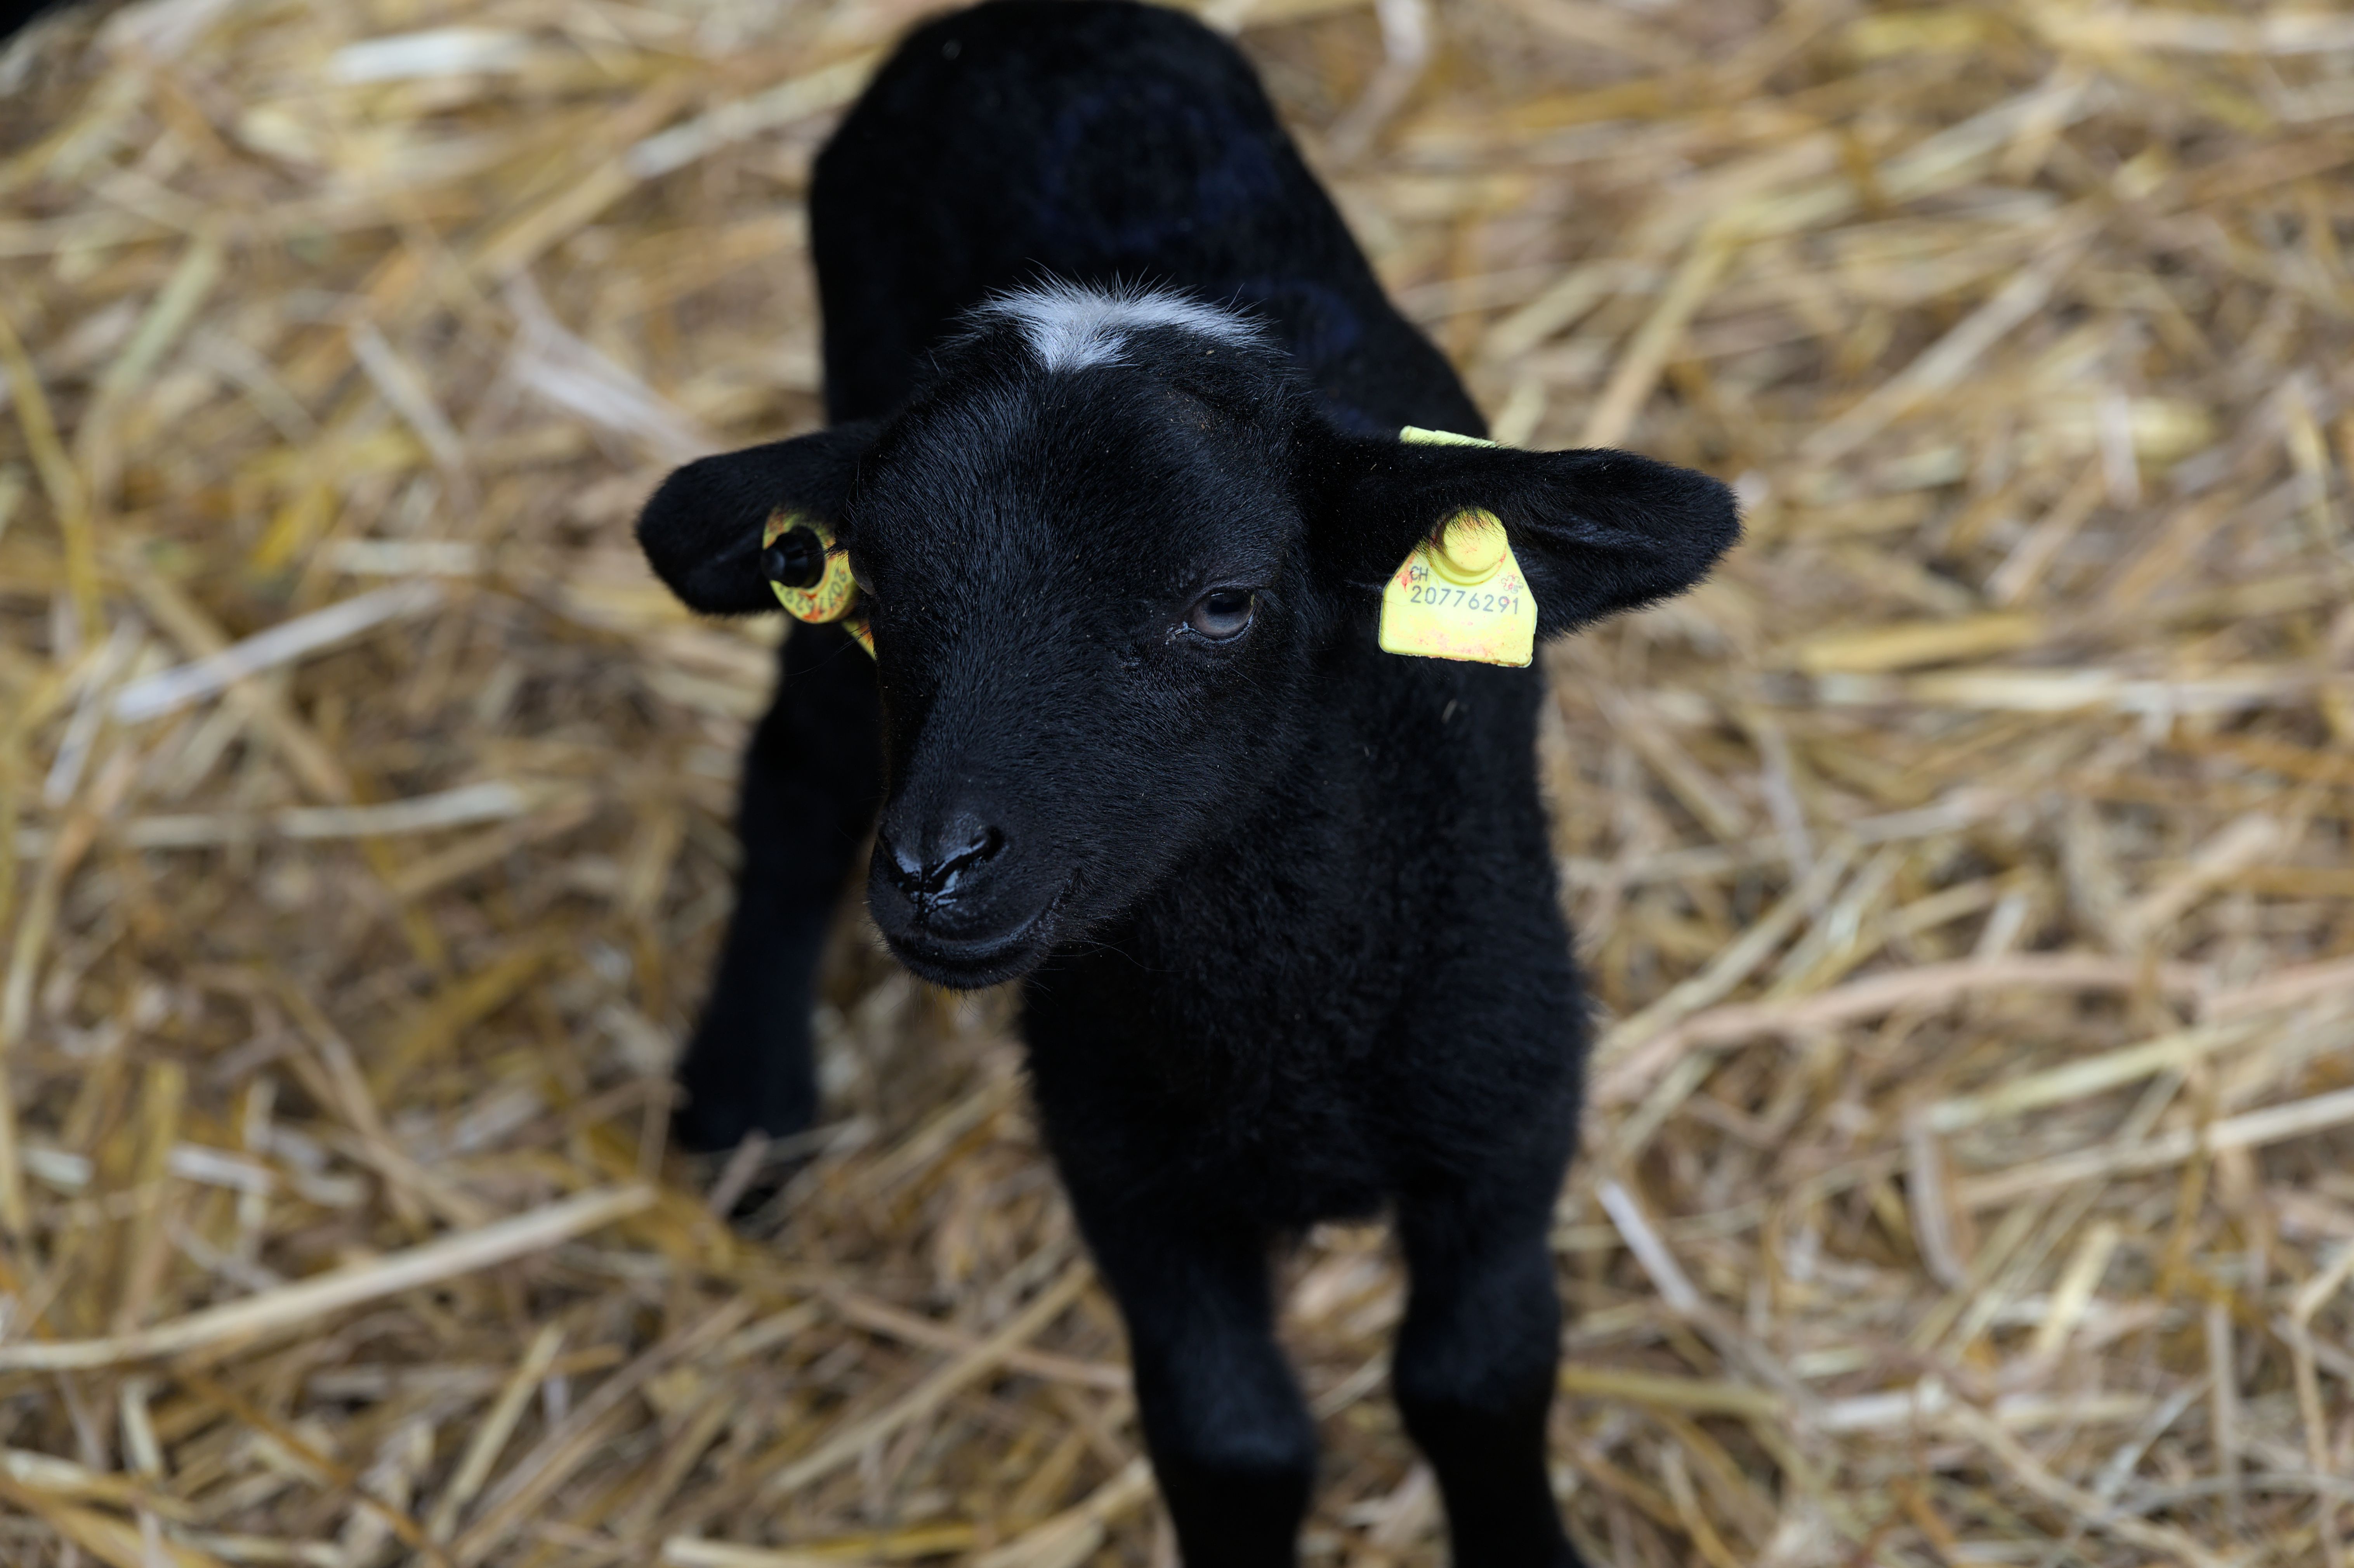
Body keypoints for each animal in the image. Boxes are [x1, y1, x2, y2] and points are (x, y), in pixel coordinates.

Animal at [636, 3, 1738, 1561]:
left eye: (1223, 603)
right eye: (878, 592)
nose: (937, 869)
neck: (1279, 1008)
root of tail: (1029, 24)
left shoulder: (1510, 1110)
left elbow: (1476, 1378)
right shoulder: (1124, 1165)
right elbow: (1230, 1440)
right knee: (796, 776)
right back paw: (747, 1103)